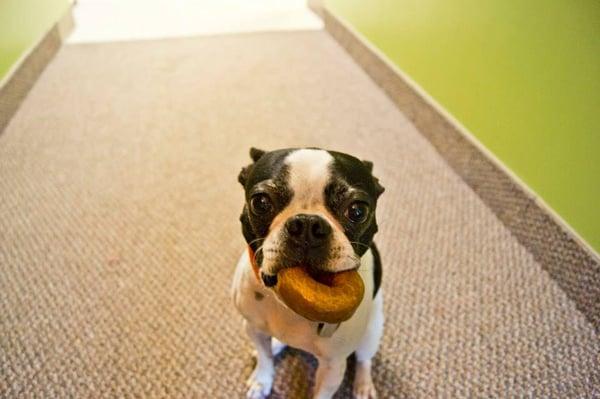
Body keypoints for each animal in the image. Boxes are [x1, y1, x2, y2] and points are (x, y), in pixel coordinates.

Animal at [232, 148, 386, 398]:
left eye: (358, 210)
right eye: (260, 202)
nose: (307, 224)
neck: (291, 307)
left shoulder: (333, 365)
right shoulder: (253, 327)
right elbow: (264, 357)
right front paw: (262, 381)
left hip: (371, 332)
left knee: (365, 359)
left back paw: (363, 386)